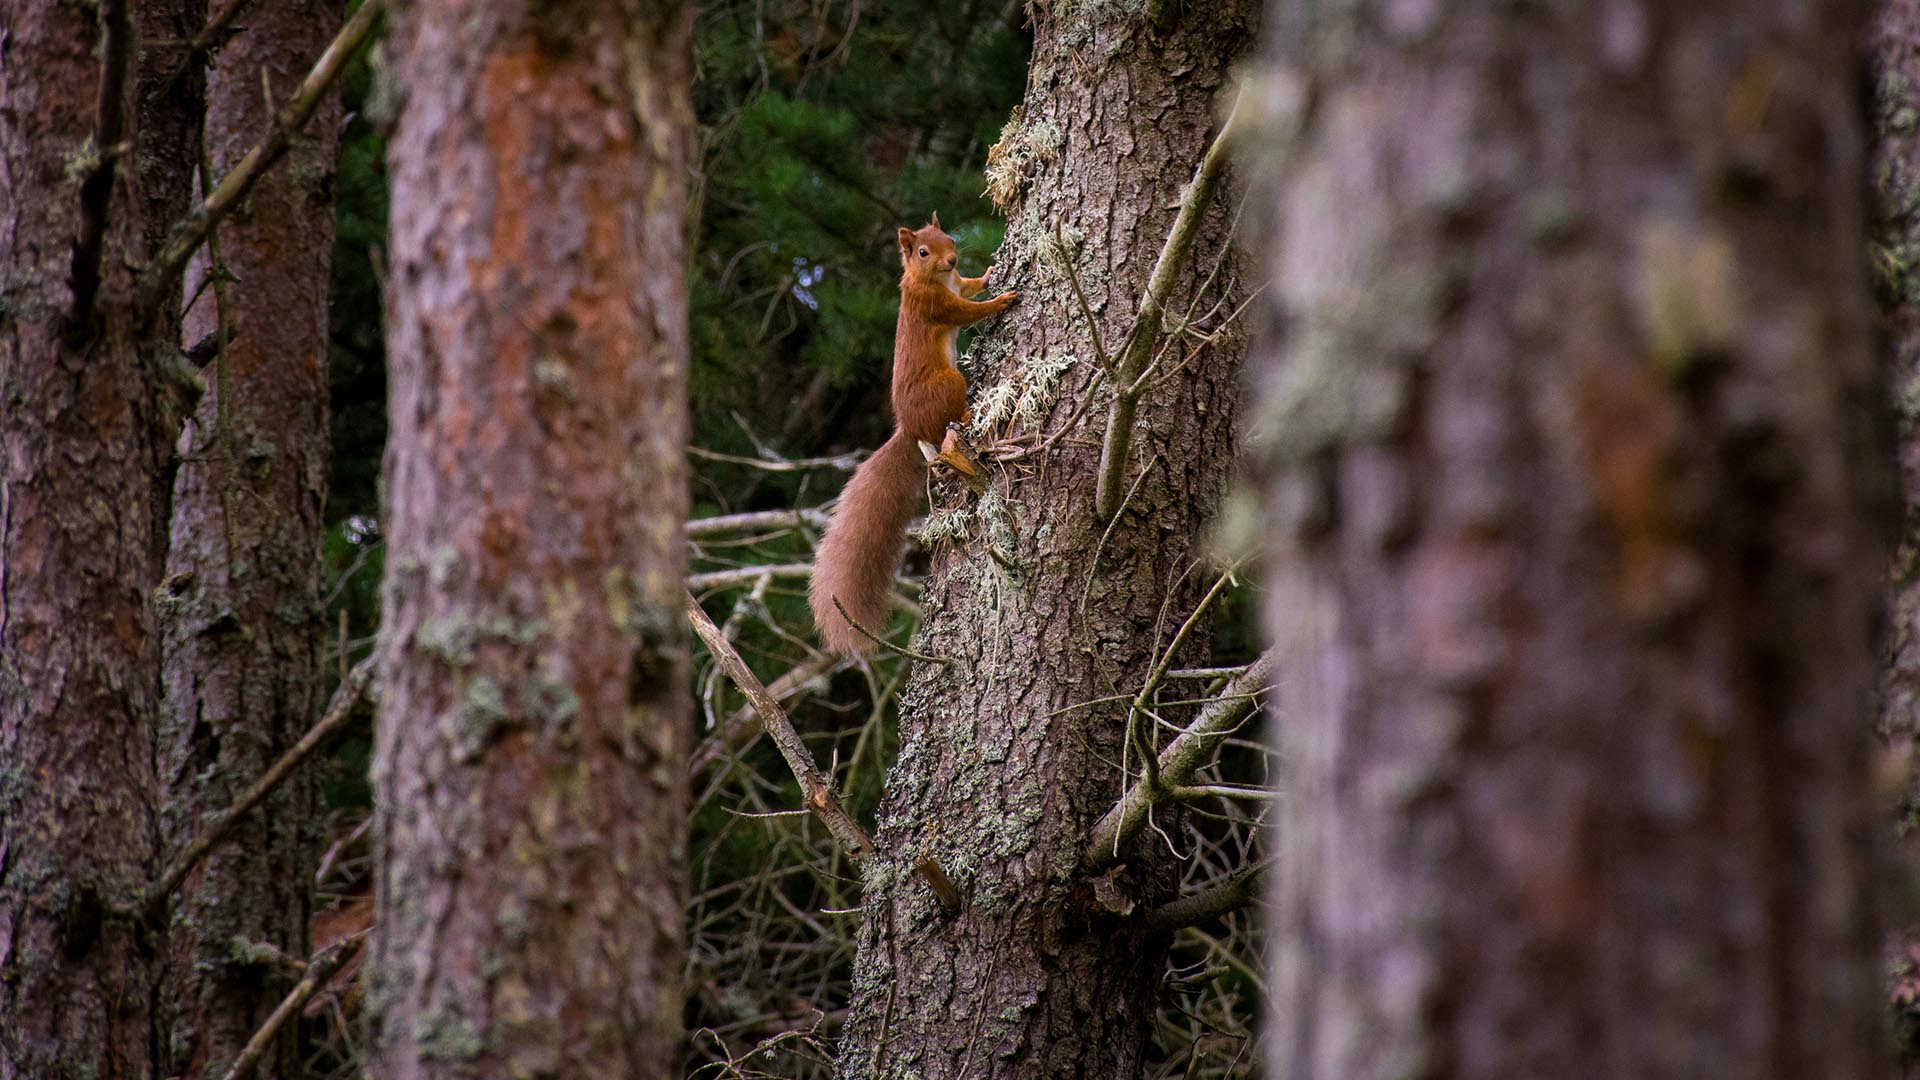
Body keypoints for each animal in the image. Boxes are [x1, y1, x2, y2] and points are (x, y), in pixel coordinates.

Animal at [806, 209, 1021, 645]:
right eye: (922, 251)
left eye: (949, 237)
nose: (952, 259)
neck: (933, 279)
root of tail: (907, 427)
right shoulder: (937, 306)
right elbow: (968, 311)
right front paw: (1001, 299)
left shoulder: (955, 284)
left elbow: (969, 287)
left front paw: (988, 274)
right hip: (948, 385)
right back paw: (967, 417)